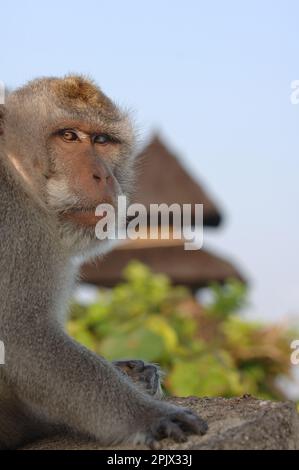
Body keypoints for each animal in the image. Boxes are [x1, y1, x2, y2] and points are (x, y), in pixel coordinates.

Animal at [0, 75, 207, 450]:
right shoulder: (17, 224)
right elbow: (21, 332)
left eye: (101, 140)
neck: (17, 176)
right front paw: (147, 415)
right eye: (68, 136)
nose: (103, 176)